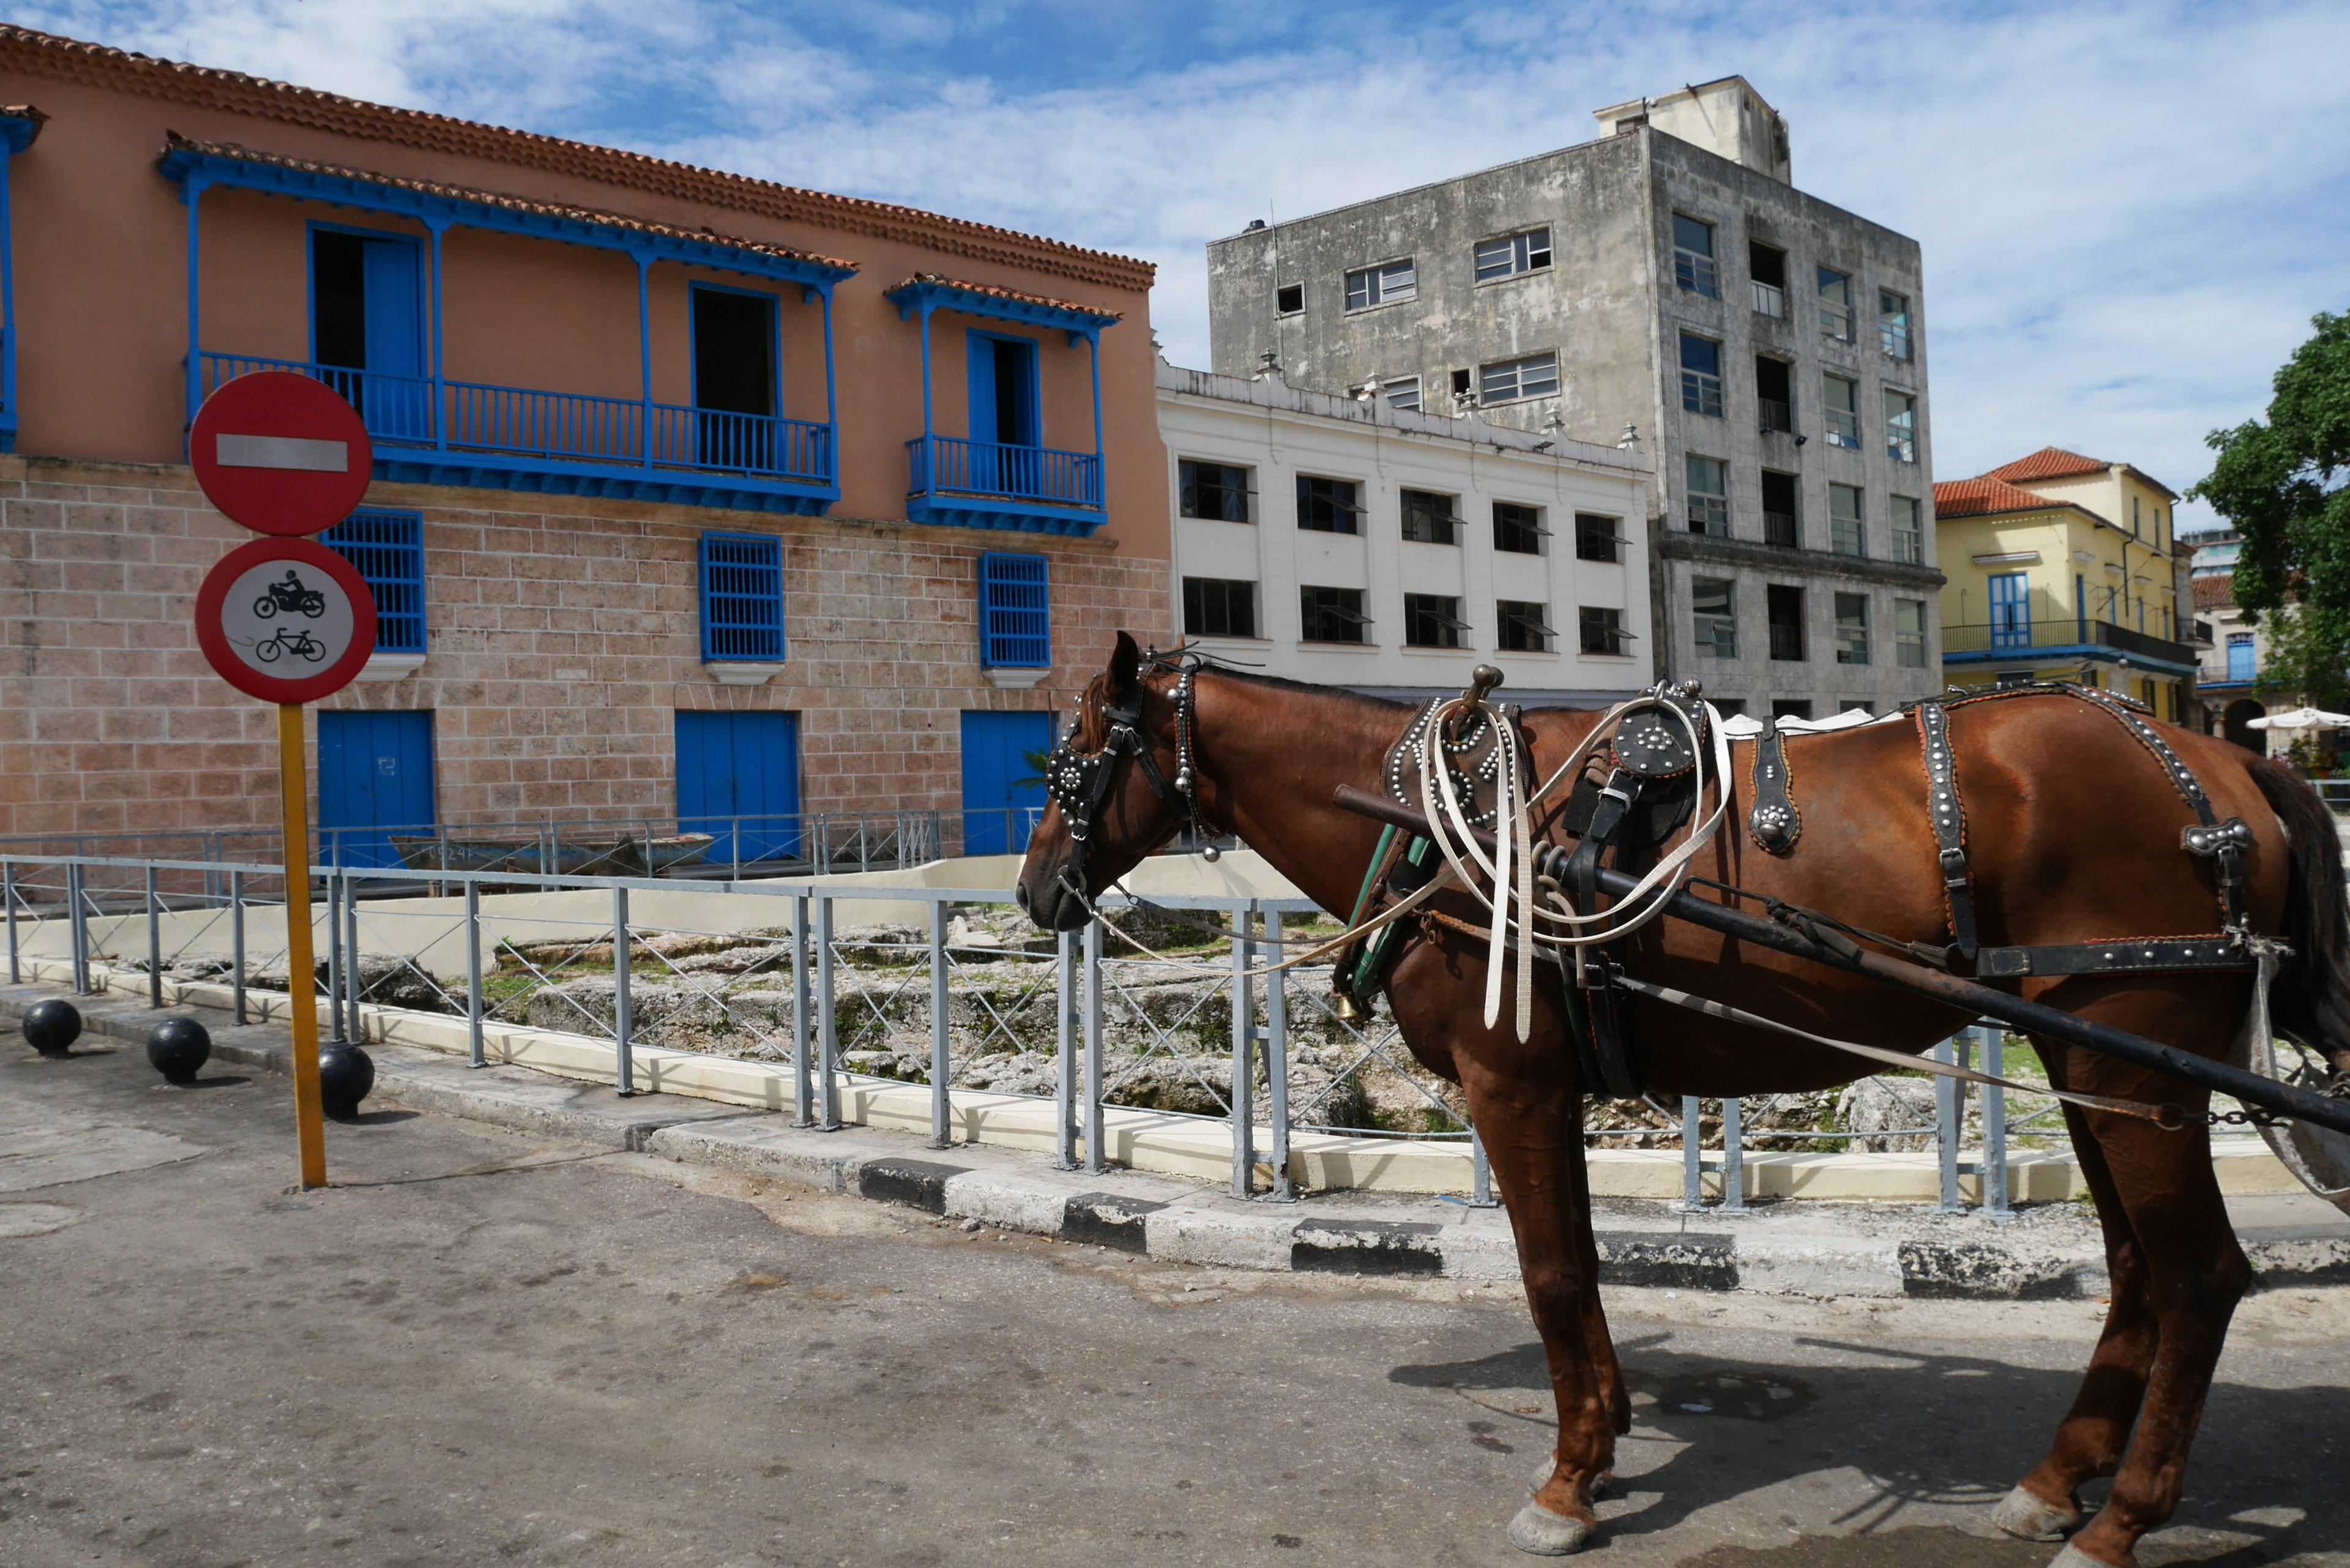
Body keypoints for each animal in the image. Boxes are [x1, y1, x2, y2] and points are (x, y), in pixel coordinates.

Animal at [1015, 630, 2350, 1561]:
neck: (1445, 820)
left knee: (2199, 1275)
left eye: (1072, 760)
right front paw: (1600, 1445)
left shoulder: (1512, 1082)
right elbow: (1582, 1265)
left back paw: (2123, 1519)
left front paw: (1565, 1486)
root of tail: (2220, 759)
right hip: (2095, 1071)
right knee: (2136, 1271)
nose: (1033, 891)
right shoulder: (1554, 1087)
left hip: (2133, 1054)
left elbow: (1553, 1275)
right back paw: (2055, 1483)